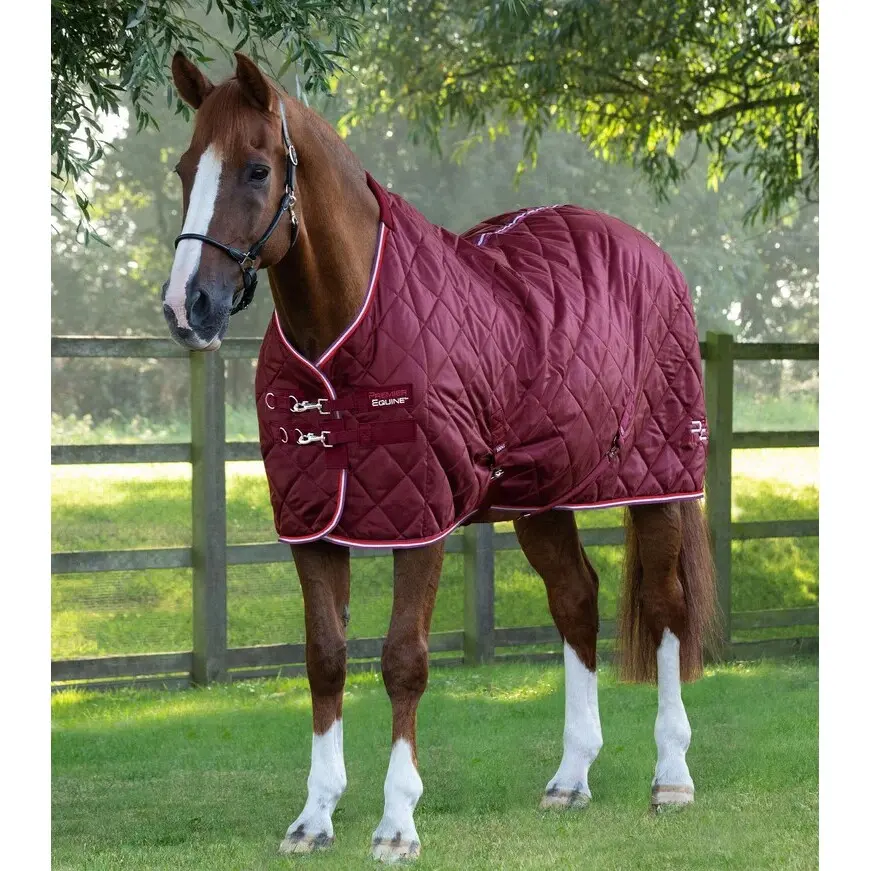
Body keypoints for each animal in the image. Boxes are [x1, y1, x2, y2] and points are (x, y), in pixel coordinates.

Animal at [162, 51, 717, 862]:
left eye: (257, 170)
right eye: (183, 168)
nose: (187, 307)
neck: (346, 329)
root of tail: (651, 253)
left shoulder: (419, 518)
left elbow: (403, 660)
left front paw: (397, 824)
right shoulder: (313, 524)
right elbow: (324, 657)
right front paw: (314, 818)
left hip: (659, 480)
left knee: (668, 608)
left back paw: (671, 777)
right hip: (543, 496)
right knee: (576, 601)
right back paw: (570, 778)